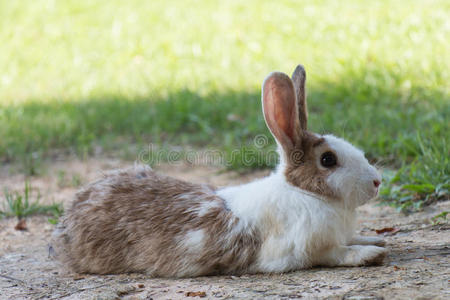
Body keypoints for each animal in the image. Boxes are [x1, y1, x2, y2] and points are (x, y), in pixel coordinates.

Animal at [50, 65, 386, 276]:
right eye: (328, 160)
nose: (376, 181)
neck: (305, 193)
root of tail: (67, 223)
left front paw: (374, 241)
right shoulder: (304, 249)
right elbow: (336, 254)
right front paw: (370, 254)